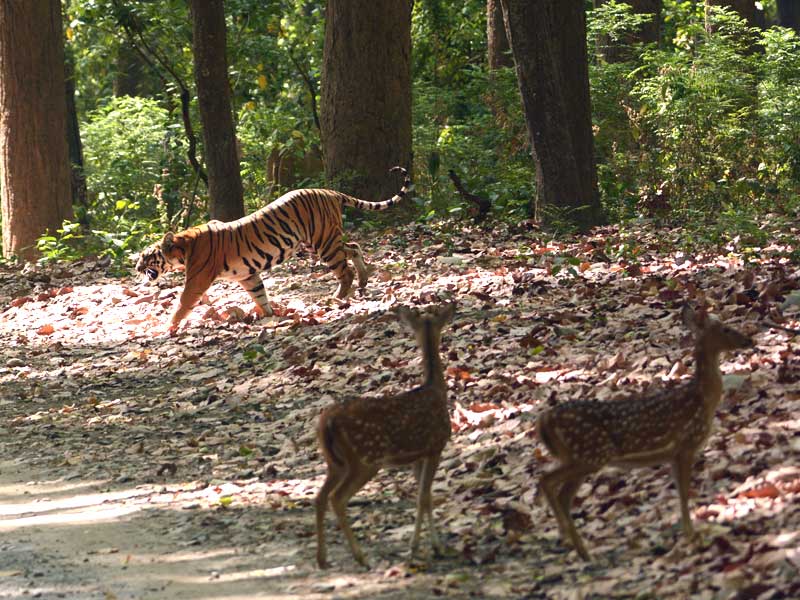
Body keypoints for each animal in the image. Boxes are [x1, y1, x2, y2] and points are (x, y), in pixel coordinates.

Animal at [135, 166, 410, 330]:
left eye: (146, 256)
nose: (136, 268)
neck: (183, 248)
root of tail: (328, 191)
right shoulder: (247, 274)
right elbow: (259, 293)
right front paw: (270, 314)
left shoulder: (197, 280)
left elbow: (182, 304)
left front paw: (167, 328)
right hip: (322, 241)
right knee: (353, 247)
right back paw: (363, 282)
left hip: (323, 243)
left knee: (345, 270)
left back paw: (339, 297)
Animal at [318, 302, 460, 568]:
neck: (435, 390)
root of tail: (328, 422)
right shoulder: (435, 446)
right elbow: (423, 497)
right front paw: (422, 548)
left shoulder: (417, 457)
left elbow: (426, 497)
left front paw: (432, 546)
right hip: (365, 459)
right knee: (336, 498)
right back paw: (360, 557)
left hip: (335, 462)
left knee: (319, 497)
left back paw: (322, 559)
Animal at [536, 308, 752, 560]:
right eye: (726, 329)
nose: (749, 340)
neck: (701, 399)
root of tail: (544, 421)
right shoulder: (686, 444)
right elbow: (684, 492)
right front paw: (692, 534)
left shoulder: (673, 455)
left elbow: (680, 491)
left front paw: (688, 532)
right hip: (590, 453)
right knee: (553, 486)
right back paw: (578, 546)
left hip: (578, 456)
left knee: (554, 487)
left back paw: (573, 544)